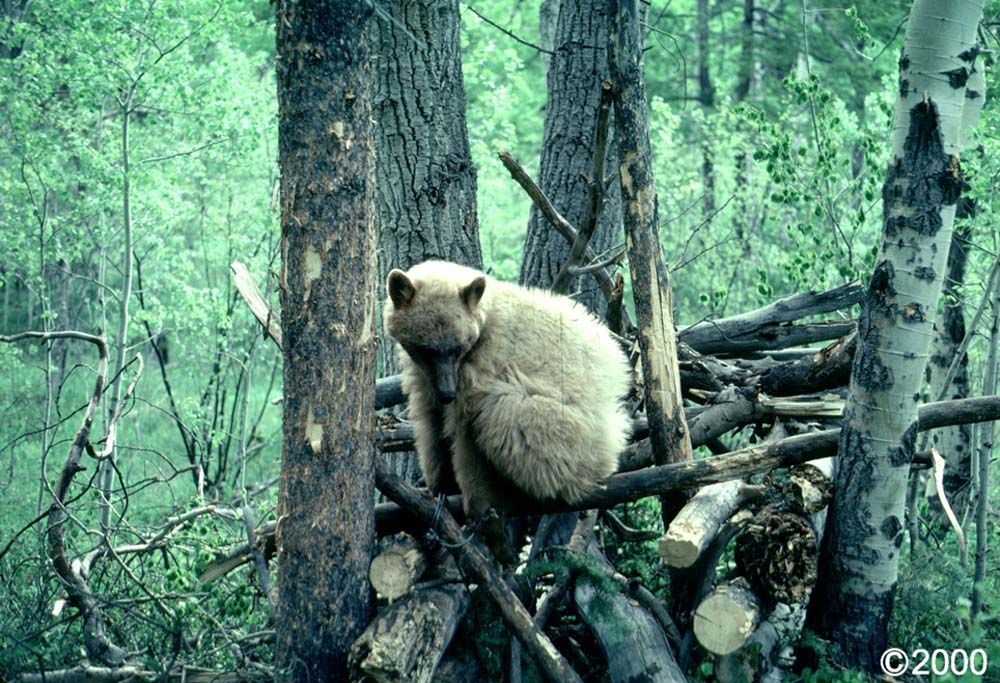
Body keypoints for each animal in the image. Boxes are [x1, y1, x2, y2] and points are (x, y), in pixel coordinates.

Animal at [383, 260, 632, 548]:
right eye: (426, 349)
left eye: (456, 347)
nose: (447, 393)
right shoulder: (426, 376)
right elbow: (431, 423)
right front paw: (437, 487)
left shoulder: (481, 365)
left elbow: (466, 433)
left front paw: (479, 510)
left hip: (568, 434)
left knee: (502, 410)